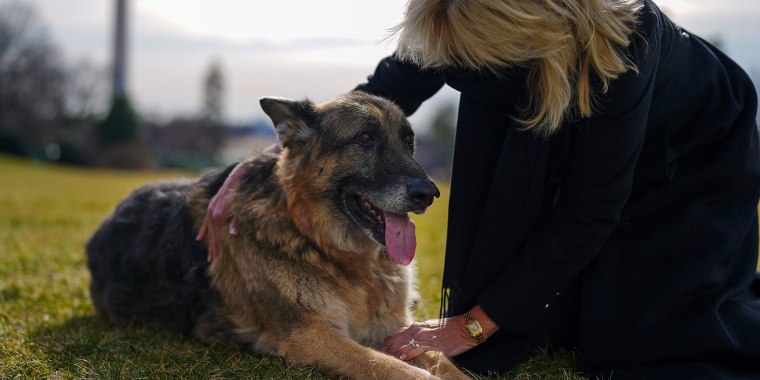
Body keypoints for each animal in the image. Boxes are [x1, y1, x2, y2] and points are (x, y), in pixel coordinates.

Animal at [87, 91, 470, 378]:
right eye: (364, 138)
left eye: (409, 141)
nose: (429, 194)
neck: (317, 240)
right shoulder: (310, 335)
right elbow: (396, 369)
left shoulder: (398, 329)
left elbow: (441, 362)